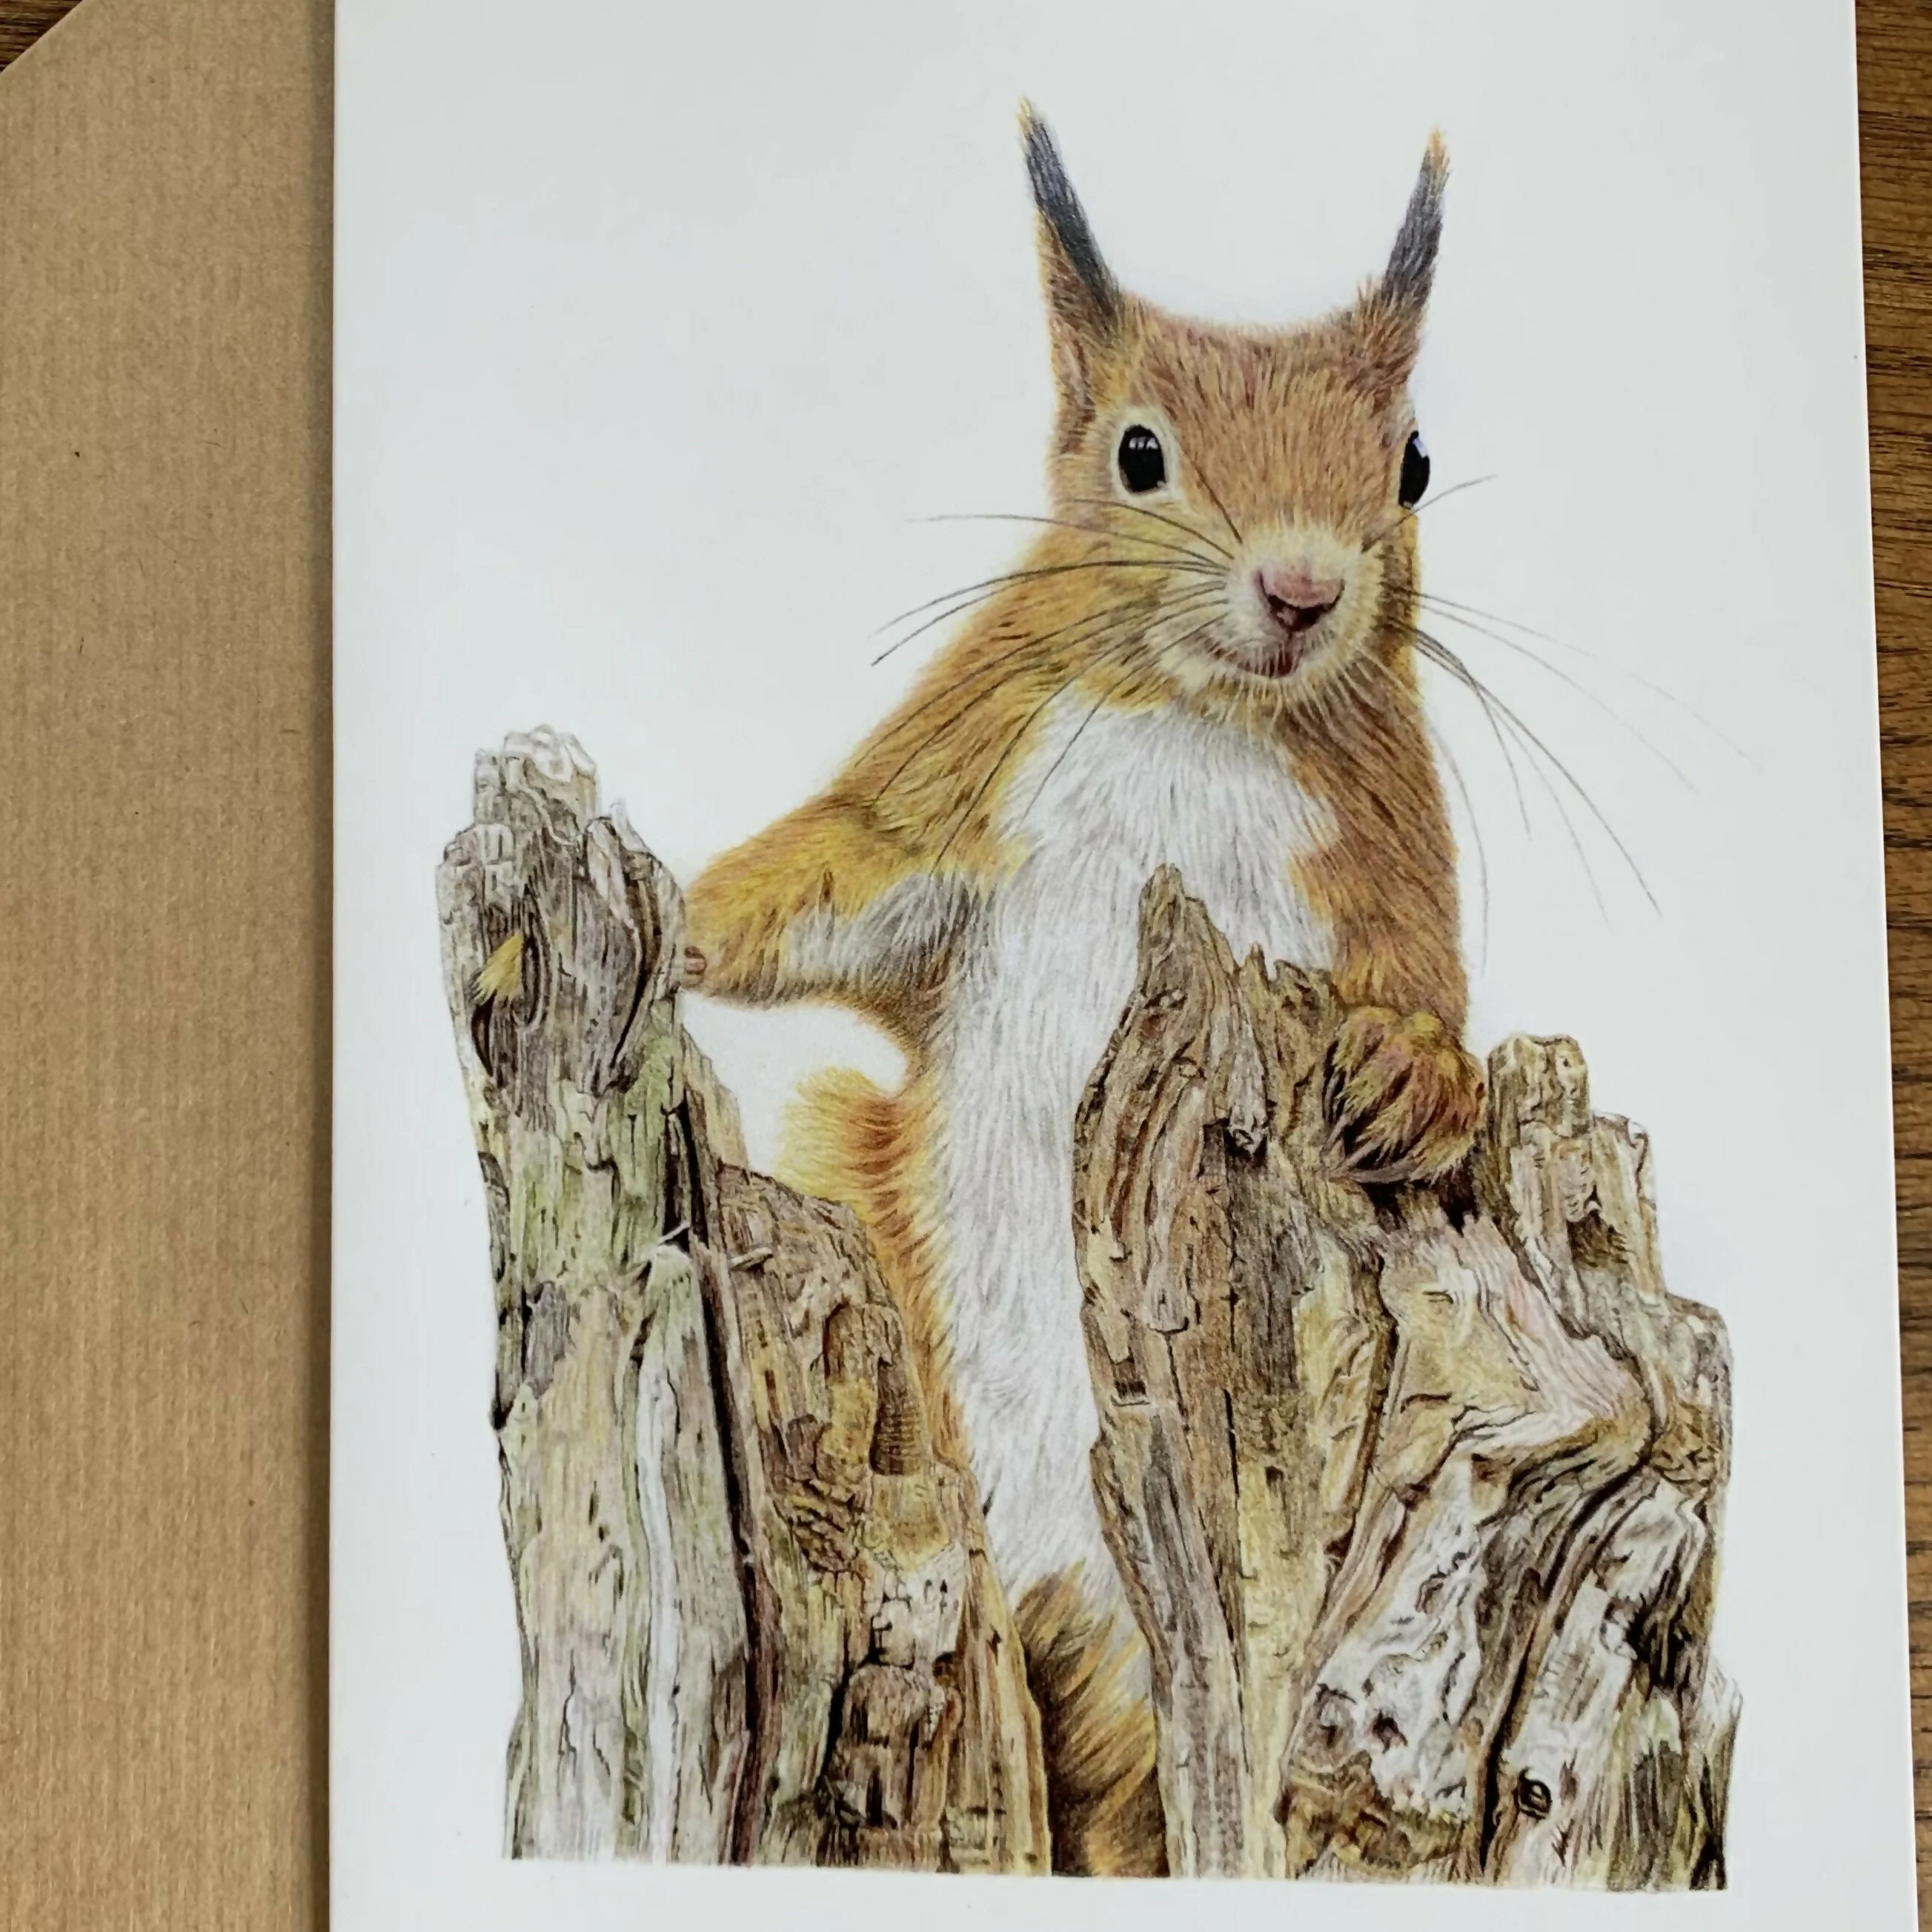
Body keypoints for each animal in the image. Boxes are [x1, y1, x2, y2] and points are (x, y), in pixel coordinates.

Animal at [683, 107, 1483, 1875]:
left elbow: (1429, 994)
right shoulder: (964, 782)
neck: (1200, 716)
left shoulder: (1381, 866)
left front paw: (1414, 1078)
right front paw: (673, 910)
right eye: (1136, 452)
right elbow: (835, 882)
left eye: (1411, 464)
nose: (1303, 591)